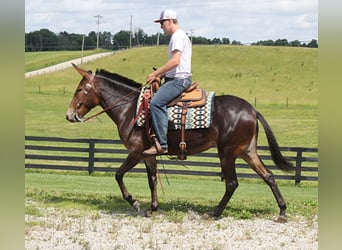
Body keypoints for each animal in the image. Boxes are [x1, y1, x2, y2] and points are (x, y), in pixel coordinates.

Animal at [66, 63, 294, 223]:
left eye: (79, 89)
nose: (69, 115)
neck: (131, 108)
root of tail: (252, 109)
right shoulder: (149, 154)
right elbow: (152, 180)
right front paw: (153, 208)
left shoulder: (136, 152)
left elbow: (118, 174)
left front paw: (136, 203)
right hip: (247, 151)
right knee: (268, 176)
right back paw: (282, 211)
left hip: (227, 153)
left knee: (232, 183)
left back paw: (213, 213)